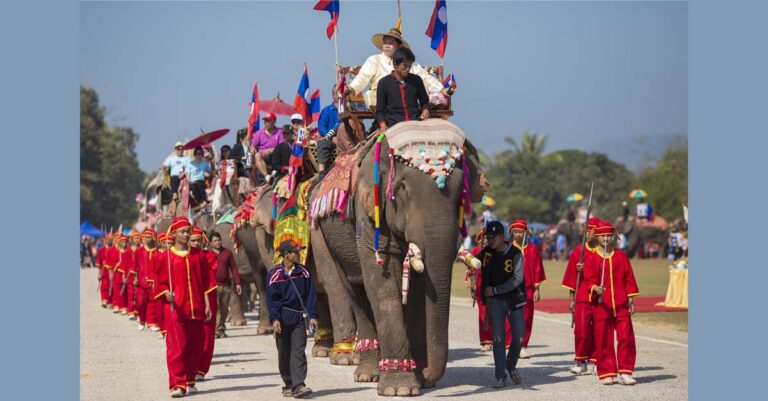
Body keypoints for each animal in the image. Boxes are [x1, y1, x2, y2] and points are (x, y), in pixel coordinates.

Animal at [308, 122, 484, 396]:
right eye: (401, 190)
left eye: (460, 194)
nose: (426, 372)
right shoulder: (367, 211)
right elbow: (383, 283)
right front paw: (399, 389)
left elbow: (420, 291)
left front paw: (419, 379)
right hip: (319, 233)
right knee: (344, 289)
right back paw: (365, 373)